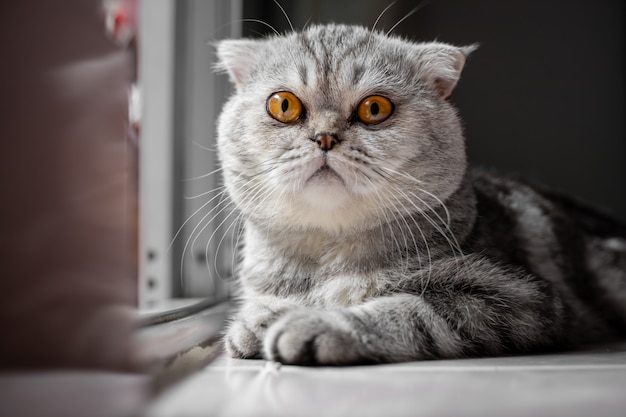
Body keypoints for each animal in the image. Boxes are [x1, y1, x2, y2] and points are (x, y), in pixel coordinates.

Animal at [213, 23, 624, 364]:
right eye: (283, 105)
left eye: (374, 108)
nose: (325, 137)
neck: (327, 259)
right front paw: (263, 319)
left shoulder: (519, 300)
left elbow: (406, 311)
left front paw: (315, 323)